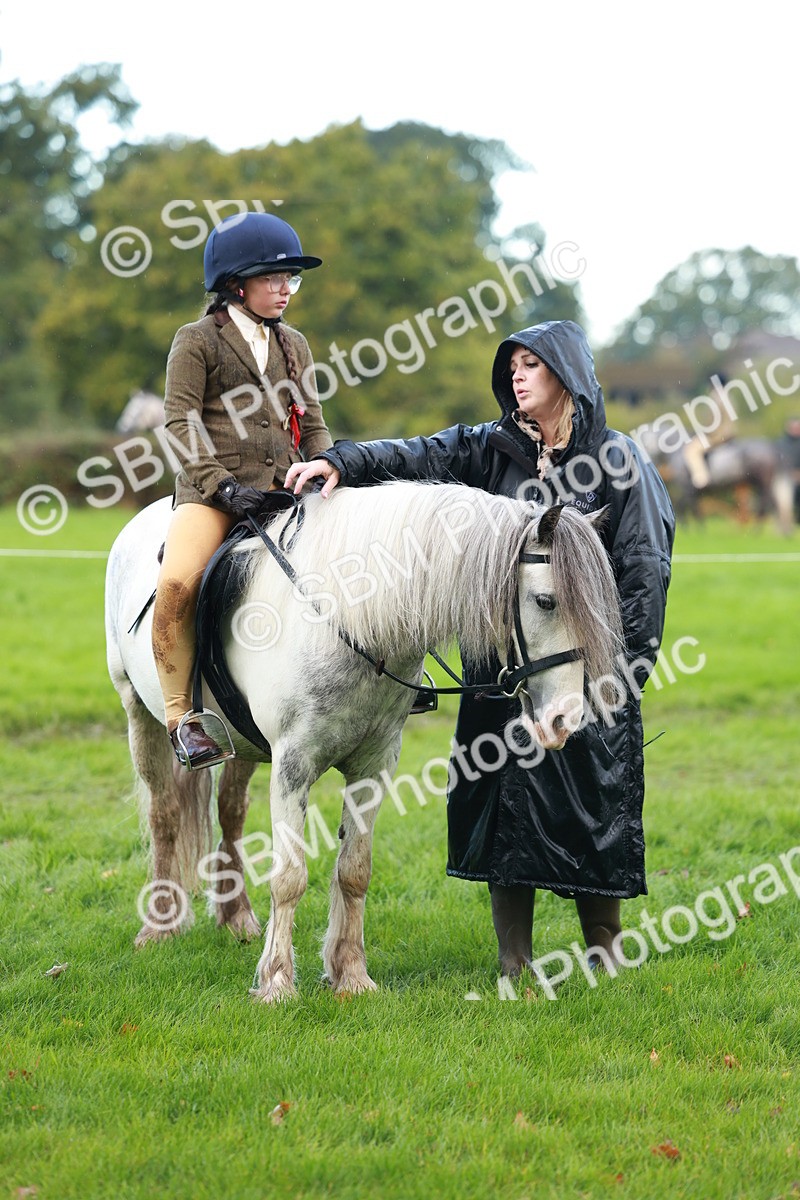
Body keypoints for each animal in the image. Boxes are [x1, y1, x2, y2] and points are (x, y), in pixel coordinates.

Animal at [104, 481, 624, 1002]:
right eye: (545, 601)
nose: (566, 719)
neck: (348, 618)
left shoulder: (373, 765)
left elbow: (354, 870)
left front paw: (351, 976)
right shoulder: (293, 765)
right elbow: (289, 876)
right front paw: (277, 983)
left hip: (242, 743)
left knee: (230, 812)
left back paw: (237, 920)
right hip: (139, 714)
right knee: (164, 813)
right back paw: (159, 927)